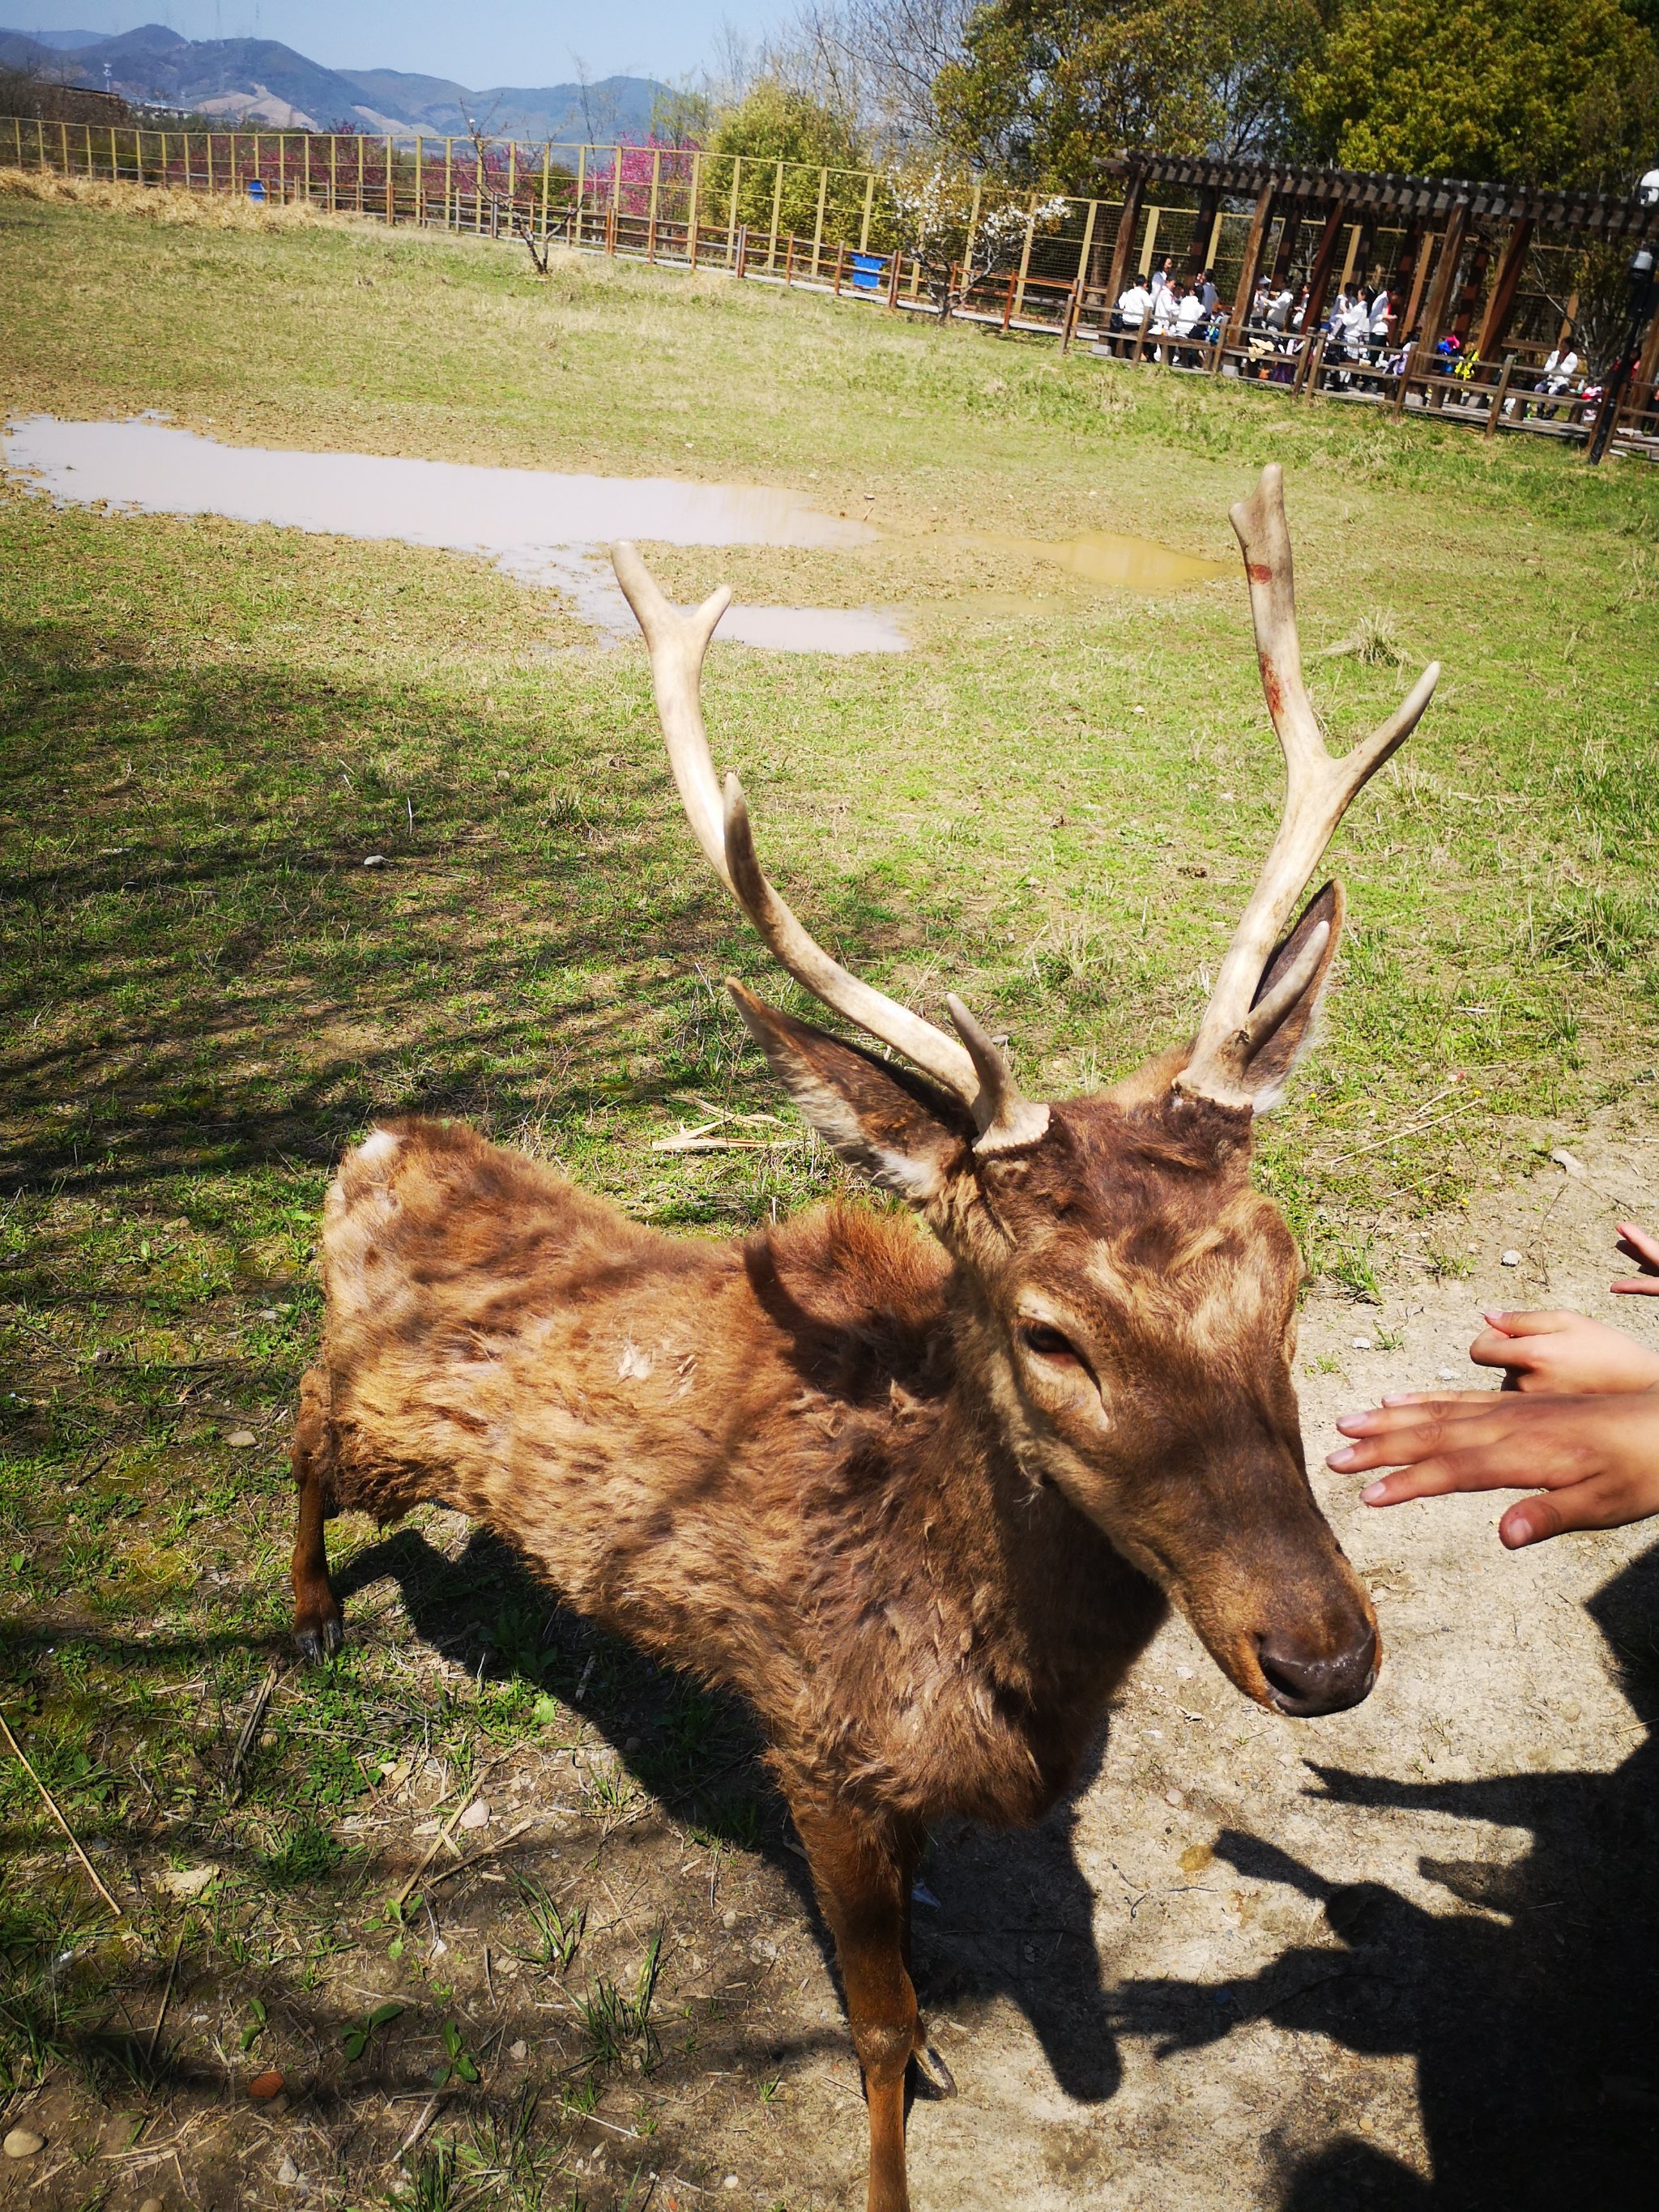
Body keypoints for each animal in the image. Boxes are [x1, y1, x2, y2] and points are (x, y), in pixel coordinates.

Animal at [289, 467, 1442, 2212]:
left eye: (1287, 1274)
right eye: (1049, 1331)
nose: (1322, 1652)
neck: (990, 1677)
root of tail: (374, 1140)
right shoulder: (813, 1739)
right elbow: (879, 2027)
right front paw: (898, 2149)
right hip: (376, 1419)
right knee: (299, 1420)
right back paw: (302, 1614)